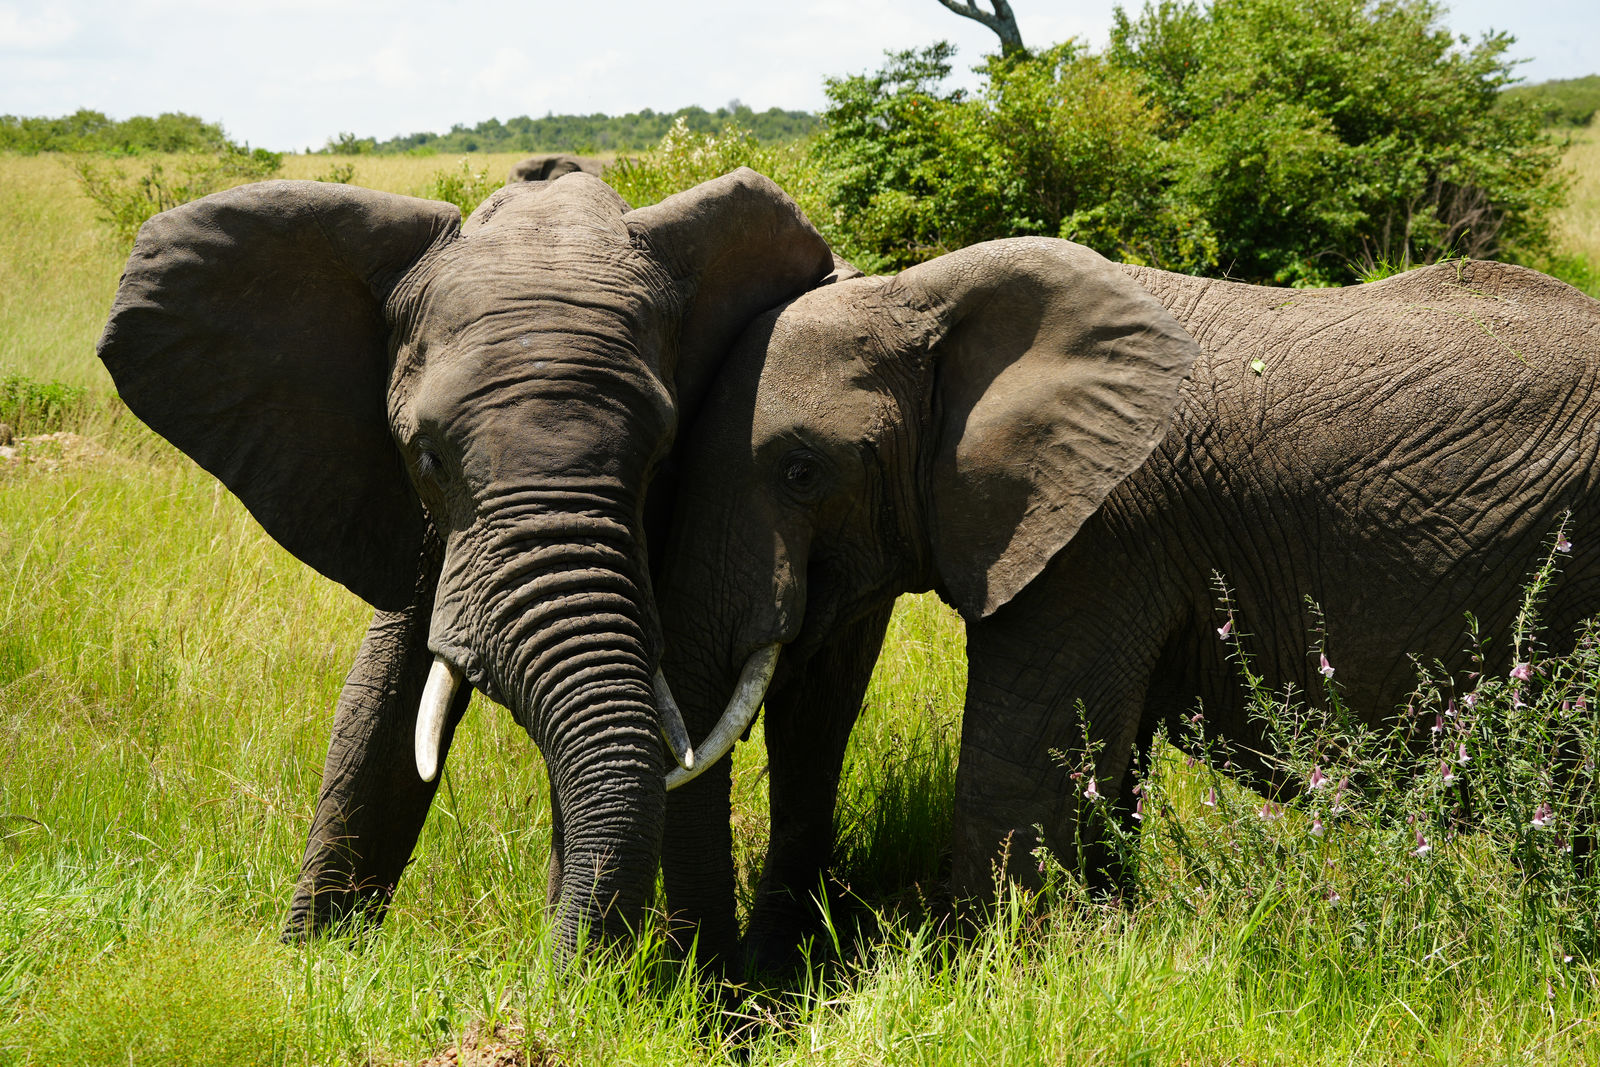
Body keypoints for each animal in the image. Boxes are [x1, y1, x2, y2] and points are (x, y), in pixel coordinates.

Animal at [651, 236, 1600, 969]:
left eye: (801, 471)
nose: (732, 993)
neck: (920, 291)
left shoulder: (1105, 531)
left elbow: (1020, 775)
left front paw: (995, 982)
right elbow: (1106, 774)